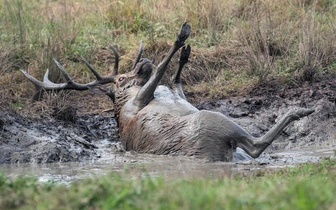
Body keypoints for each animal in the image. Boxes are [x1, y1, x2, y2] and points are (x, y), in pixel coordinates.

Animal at [22, 22, 314, 162]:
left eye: (127, 70)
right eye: (121, 78)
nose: (143, 61)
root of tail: (219, 152)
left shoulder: (174, 94)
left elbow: (176, 81)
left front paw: (185, 53)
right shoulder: (139, 101)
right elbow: (162, 72)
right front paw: (180, 37)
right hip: (214, 120)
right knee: (255, 145)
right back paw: (299, 110)